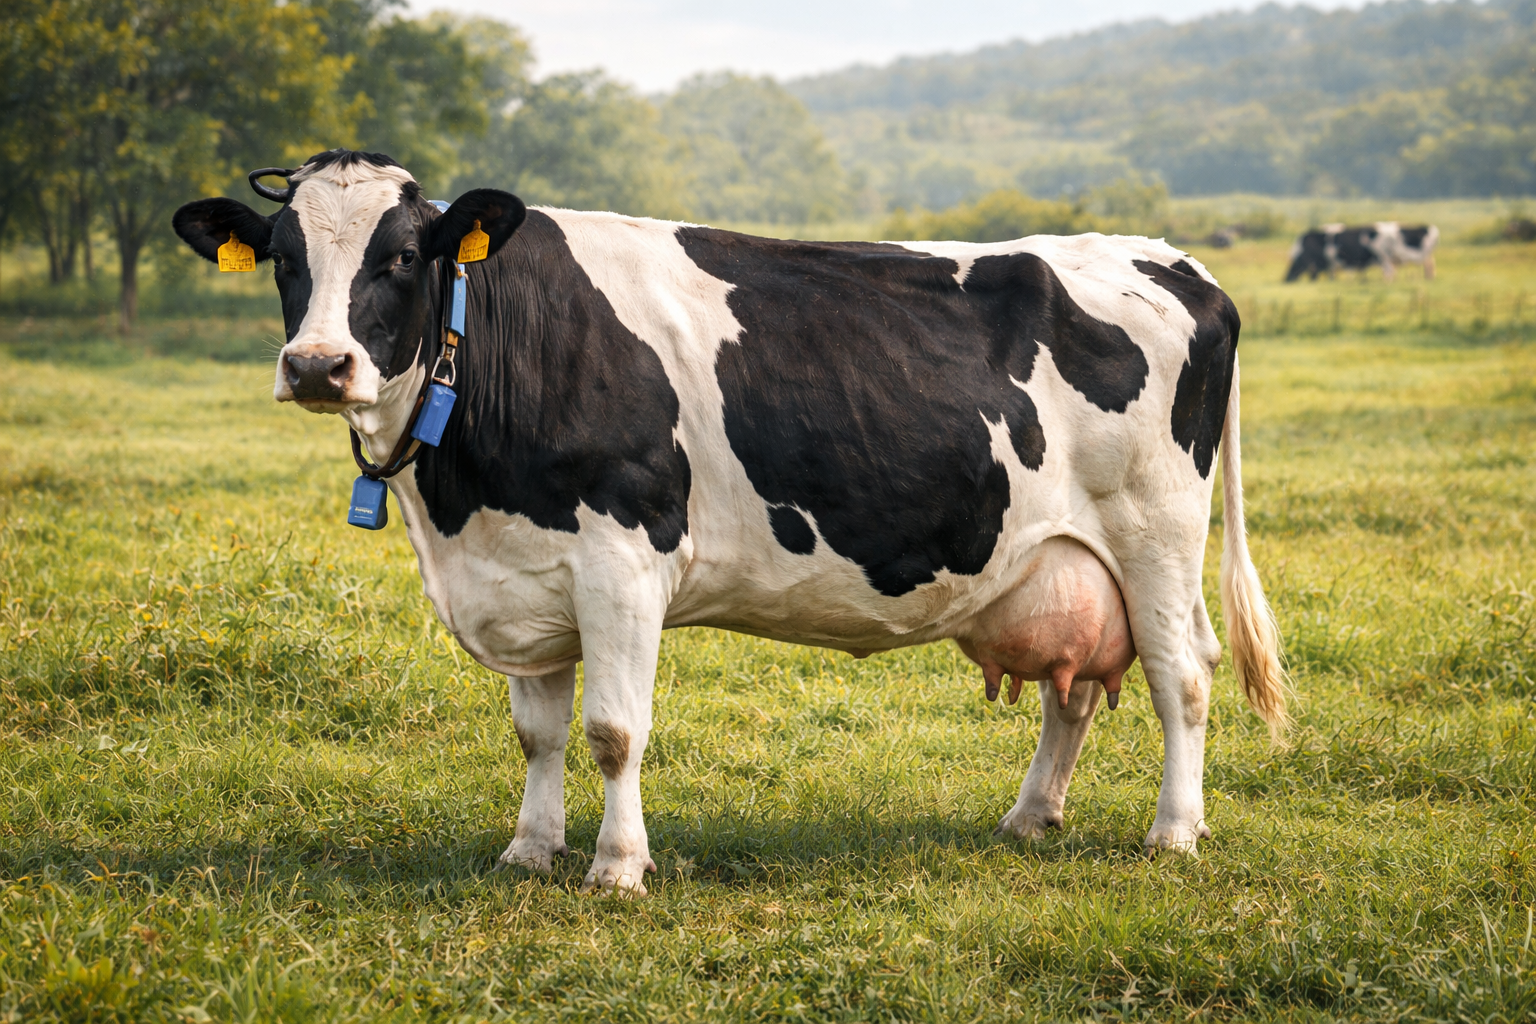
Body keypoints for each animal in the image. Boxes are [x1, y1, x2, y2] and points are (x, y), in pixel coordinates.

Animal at [172, 149, 1286, 894]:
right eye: (282, 256)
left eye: (404, 256)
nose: (319, 365)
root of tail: (1174, 261)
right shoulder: (526, 568)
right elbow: (537, 731)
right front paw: (529, 850)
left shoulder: (621, 560)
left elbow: (614, 730)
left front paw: (618, 867)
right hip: (1059, 559)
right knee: (1077, 689)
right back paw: (1029, 817)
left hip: (1155, 533)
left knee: (1182, 675)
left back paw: (1173, 832)